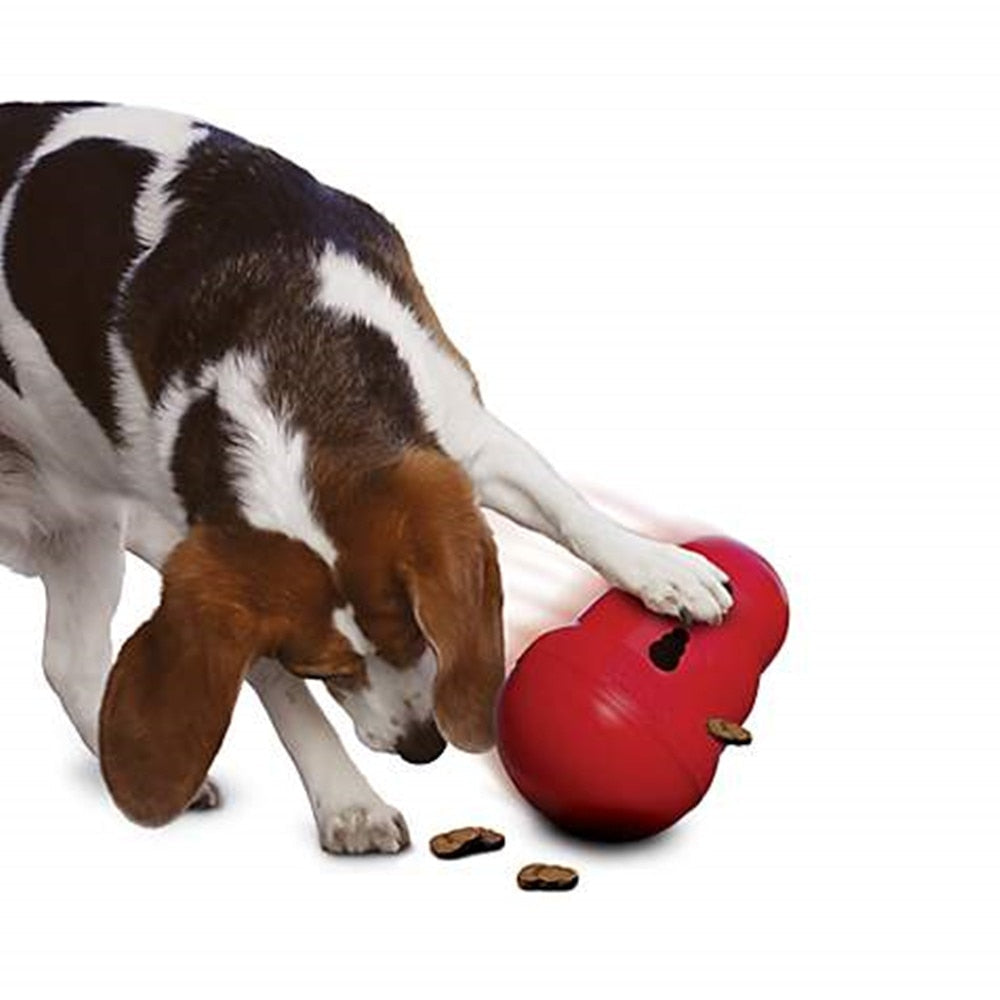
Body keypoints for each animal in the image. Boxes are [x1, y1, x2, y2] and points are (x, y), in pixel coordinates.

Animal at [0, 99, 736, 852]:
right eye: (327, 670)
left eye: (422, 629)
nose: (422, 747)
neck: (285, 364)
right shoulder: (212, 571)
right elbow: (281, 691)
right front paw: (348, 801)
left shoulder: (460, 432)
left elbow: (566, 507)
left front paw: (661, 570)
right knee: (71, 659)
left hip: (90, 522)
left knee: (68, 658)